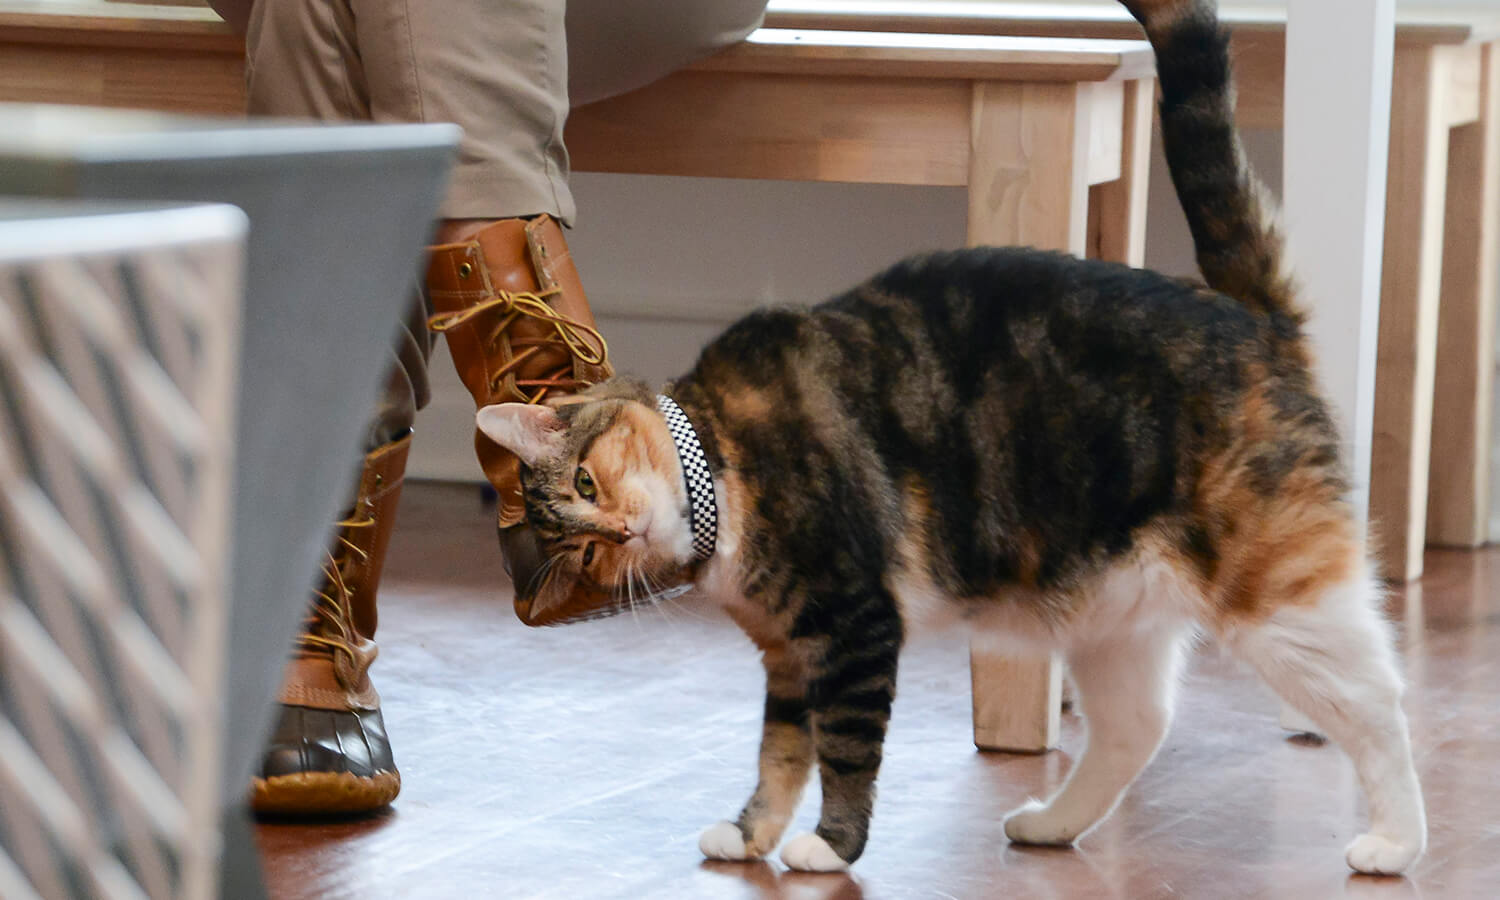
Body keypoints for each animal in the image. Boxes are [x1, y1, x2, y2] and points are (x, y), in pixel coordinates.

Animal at [480, 0, 1428, 876]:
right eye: (587, 555)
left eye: (589, 484)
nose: (623, 531)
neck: (726, 465)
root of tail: (1248, 314)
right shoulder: (789, 655)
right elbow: (781, 751)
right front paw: (750, 834)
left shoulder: (854, 626)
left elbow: (845, 751)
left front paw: (830, 846)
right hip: (1114, 615)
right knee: (1140, 725)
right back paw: (1051, 823)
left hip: (1283, 596)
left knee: (1381, 703)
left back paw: (1394, 841)